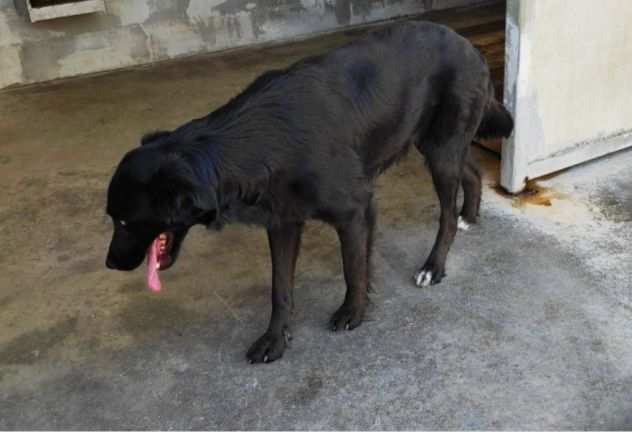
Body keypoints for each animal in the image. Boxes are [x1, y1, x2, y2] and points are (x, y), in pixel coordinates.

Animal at [107, 22, 512, 362]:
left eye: (125, 221)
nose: (110, 264)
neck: (256, 144)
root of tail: (469, 45)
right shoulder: (282, 222)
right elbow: (280, 287)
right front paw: (275, 338)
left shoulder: (355, 211)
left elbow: (353, 268)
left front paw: (353, 312)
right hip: (436, 146)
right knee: (472, 171)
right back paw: (469, 215)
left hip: (440, 150)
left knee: (446, 213)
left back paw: (434, 265)